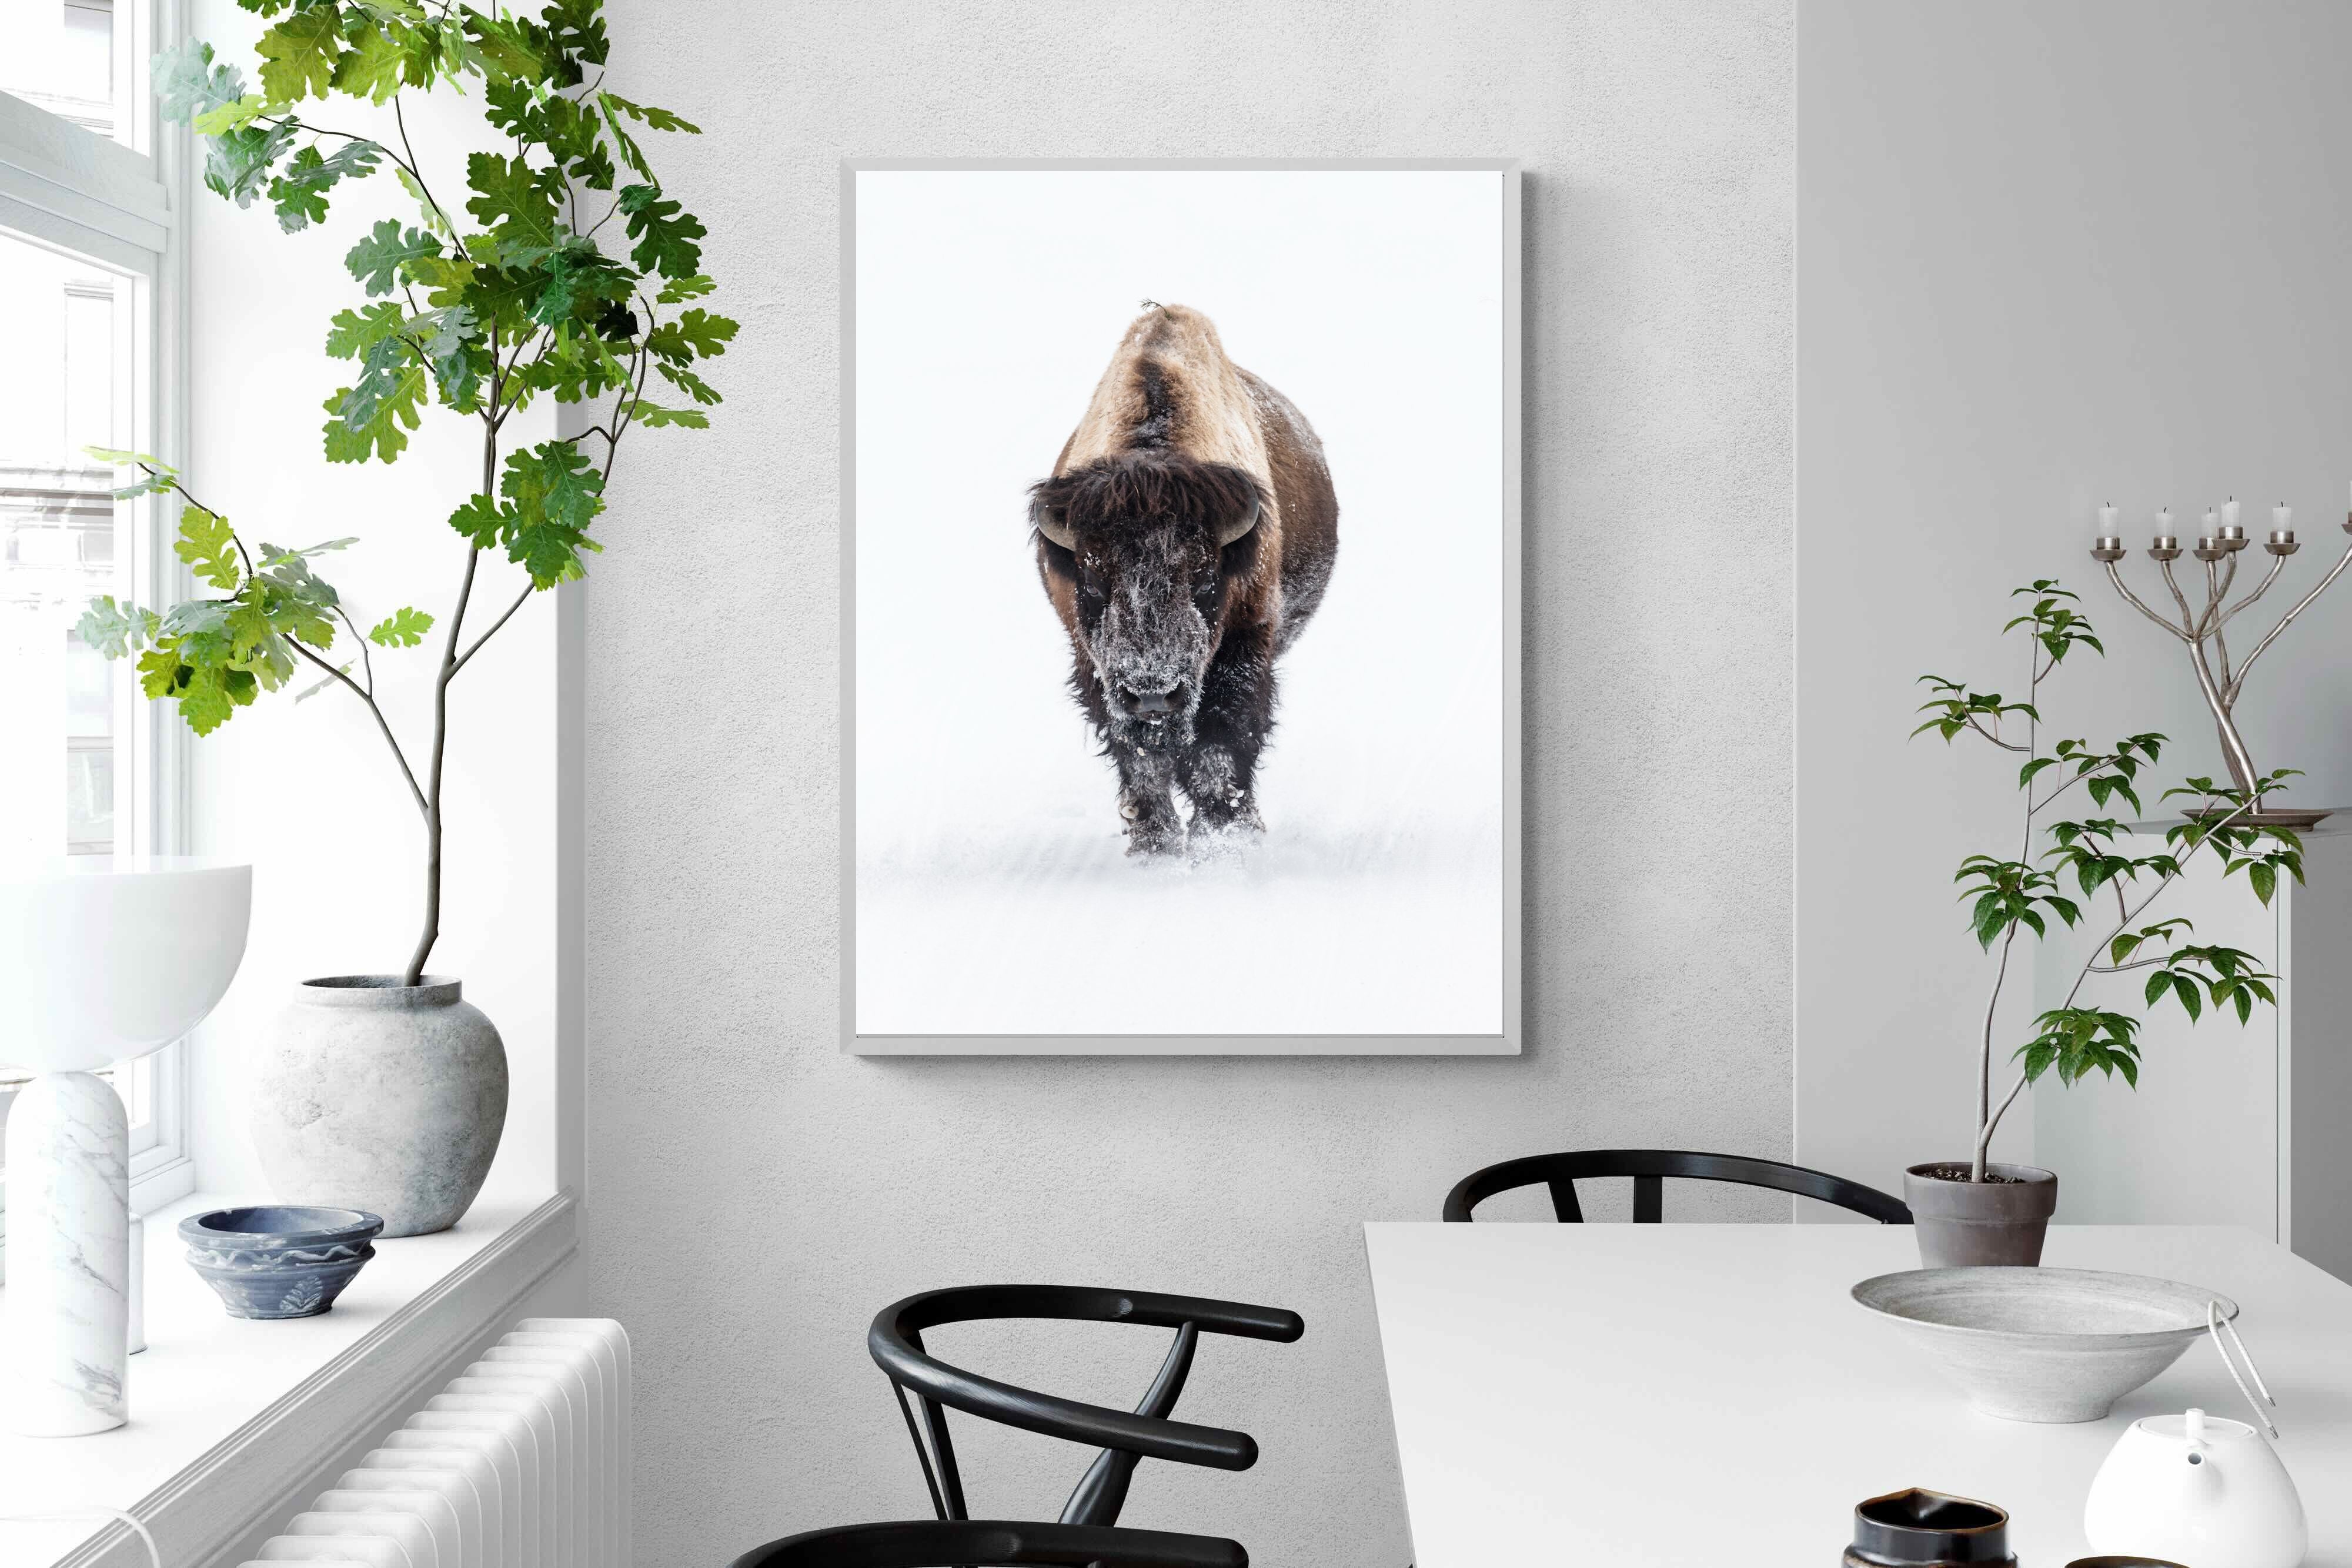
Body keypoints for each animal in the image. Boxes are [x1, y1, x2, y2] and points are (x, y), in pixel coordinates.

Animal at [1031, 304, 1340, 855]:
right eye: (1093, 581)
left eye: (1205, 579)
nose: (1154, 695)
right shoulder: (1095, 667)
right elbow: (1140, 758)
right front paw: (1154, 842)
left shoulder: (1244, 644)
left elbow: (1222, 743)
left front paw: (1222, 838)